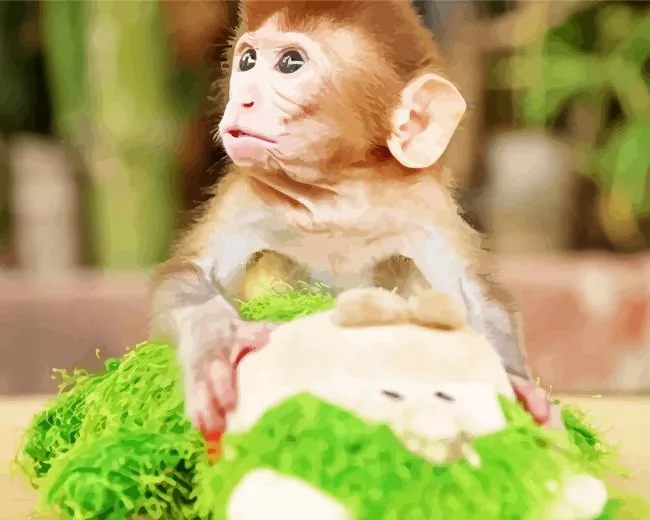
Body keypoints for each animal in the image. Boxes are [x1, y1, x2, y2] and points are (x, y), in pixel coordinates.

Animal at [150, 0, 553, 437]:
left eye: (290, 63)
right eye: (248, 60)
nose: (243, 101)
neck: (335, 197)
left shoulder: (424, 202)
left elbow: (470, 295)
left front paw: (517, 385)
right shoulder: (245, 195)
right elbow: (189, 275)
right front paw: (216, 344)